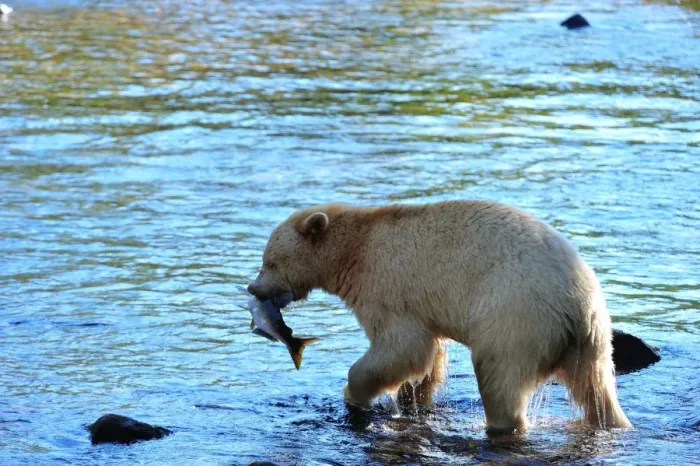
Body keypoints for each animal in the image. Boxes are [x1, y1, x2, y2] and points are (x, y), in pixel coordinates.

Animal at [247, 200, 632, 432]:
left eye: (270, 262)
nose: (254, 288)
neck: (356, 249)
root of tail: (578, 306)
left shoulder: (386, 285)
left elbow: (402, 347)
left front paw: (354, 393)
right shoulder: (421, 307)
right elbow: (427, 358)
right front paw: (411, 399)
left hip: (516, 316)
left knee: (498, 377)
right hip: (593, 342)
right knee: (596, 391)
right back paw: (614, 422)